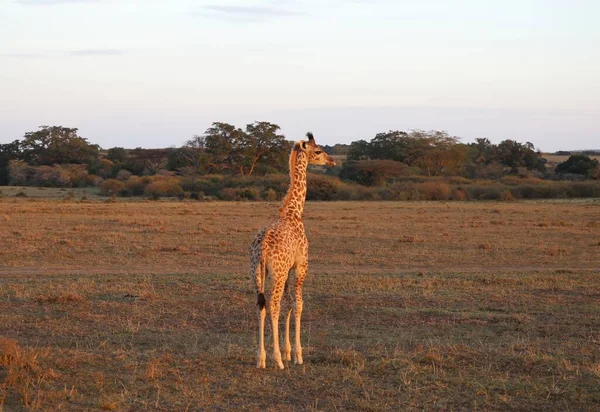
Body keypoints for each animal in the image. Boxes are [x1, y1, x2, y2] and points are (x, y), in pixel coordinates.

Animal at [250, 133, 338, 370]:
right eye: (318, 151)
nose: (332, 161)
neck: (294, 212)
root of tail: (261, 248)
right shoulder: (300, 266)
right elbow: (298, 304)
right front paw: (297, 354)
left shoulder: (289, 269)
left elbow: (289, 304)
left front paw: (288, 351)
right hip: (278, 274)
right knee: (273, 305)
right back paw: (277, 360)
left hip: (257, 274)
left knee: (261, 305)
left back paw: (261, 358)